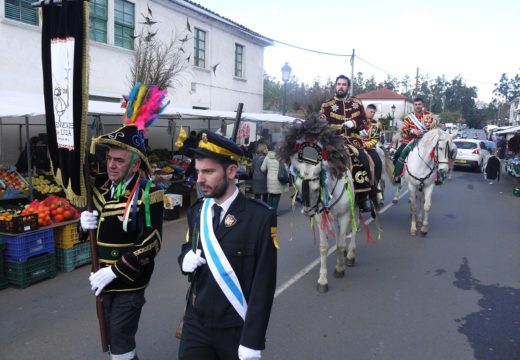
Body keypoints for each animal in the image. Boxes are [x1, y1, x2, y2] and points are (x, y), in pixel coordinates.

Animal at [280, 118, 358, 292]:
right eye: (297, 185)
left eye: (316, 188)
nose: (308, 212)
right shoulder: (321, 217)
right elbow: (324, 247)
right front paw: (322, 279)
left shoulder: (344, 215)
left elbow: (340, 244)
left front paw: (340, 268)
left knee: (354, 229)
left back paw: (350, 255)